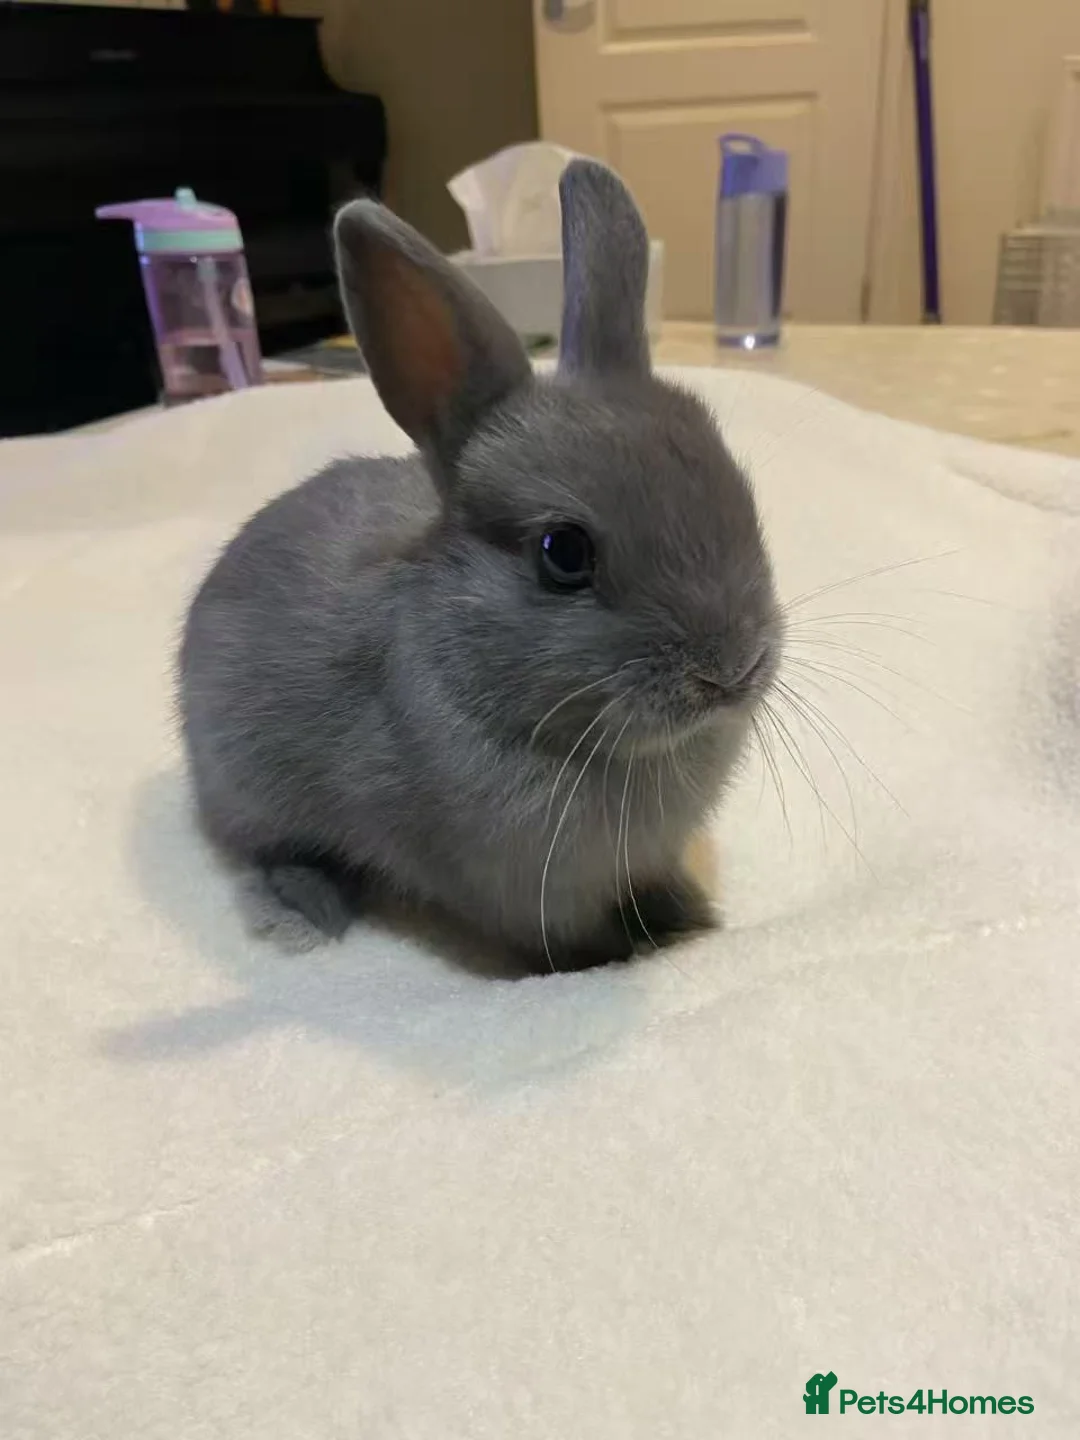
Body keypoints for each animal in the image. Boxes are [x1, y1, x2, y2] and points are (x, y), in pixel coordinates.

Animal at [178, 158, 780, 971]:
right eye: (563, 553)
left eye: (737, 487)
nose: (732, 668)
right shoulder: (531, 897)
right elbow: (569, 941)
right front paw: (622, 956)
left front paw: (691, 917)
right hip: (244, 788)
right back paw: (303, 908)